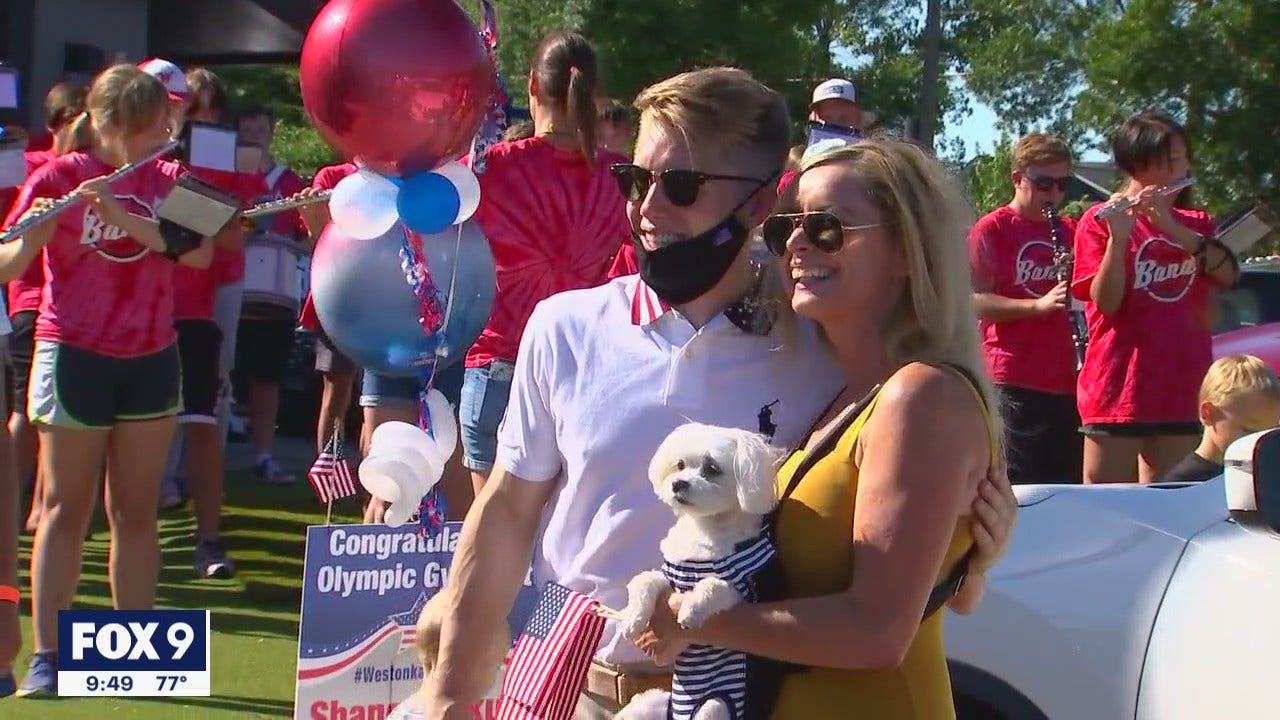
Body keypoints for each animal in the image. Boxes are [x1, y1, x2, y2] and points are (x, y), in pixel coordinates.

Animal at [616, 420, 783, 717]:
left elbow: (713, 585)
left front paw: (691, 610)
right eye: (680, 465)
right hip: (652, 701)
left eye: (712, 468)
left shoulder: (741, 591)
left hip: (714, 705)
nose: (678, 483)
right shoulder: (669, 575)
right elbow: (644, 581)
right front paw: (632, 617)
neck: (705, 530)